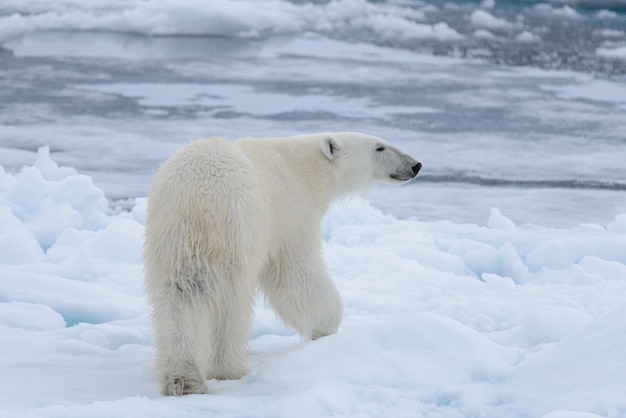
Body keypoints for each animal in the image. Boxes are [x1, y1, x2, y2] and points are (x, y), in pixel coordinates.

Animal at [145, 133, 420, 396]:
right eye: (379, 147)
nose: (415, 165)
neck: (304, 168)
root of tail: (199, 202)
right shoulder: (290, 214)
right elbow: (297, 275)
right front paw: (324, 327)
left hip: (170, 239)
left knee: (178, 298)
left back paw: (184, 379)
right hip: (239, 233)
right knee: (232, 303)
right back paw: (228, 368)